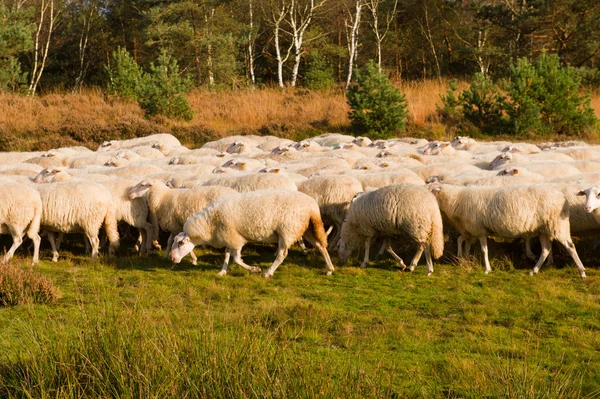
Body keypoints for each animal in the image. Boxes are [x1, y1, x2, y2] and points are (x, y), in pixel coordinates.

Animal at [171, 191, 336, 278]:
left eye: (181, 243)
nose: (173, 259)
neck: (209, 223)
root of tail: (312, 207)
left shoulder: (235, 238)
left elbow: (237, 259)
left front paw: (255, 269)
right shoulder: (228, 236)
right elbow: (227, 254)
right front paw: (222, 271)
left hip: (287, 231)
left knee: (282, 254)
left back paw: (268, 272)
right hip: (307, 229)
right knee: (321, 247)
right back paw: (330, 268)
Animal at [428, 184, 588, 278]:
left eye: (431, 191)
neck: (456, 199)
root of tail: (563, 198)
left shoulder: (479, 230)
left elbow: (483, 250)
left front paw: (486, 269)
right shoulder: (470, 230)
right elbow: (461, 240)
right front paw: (464, 258)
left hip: (557, 225)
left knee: (570, 247)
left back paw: (581, 271)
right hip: (544, 229)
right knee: (546, 250)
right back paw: (534, 270)